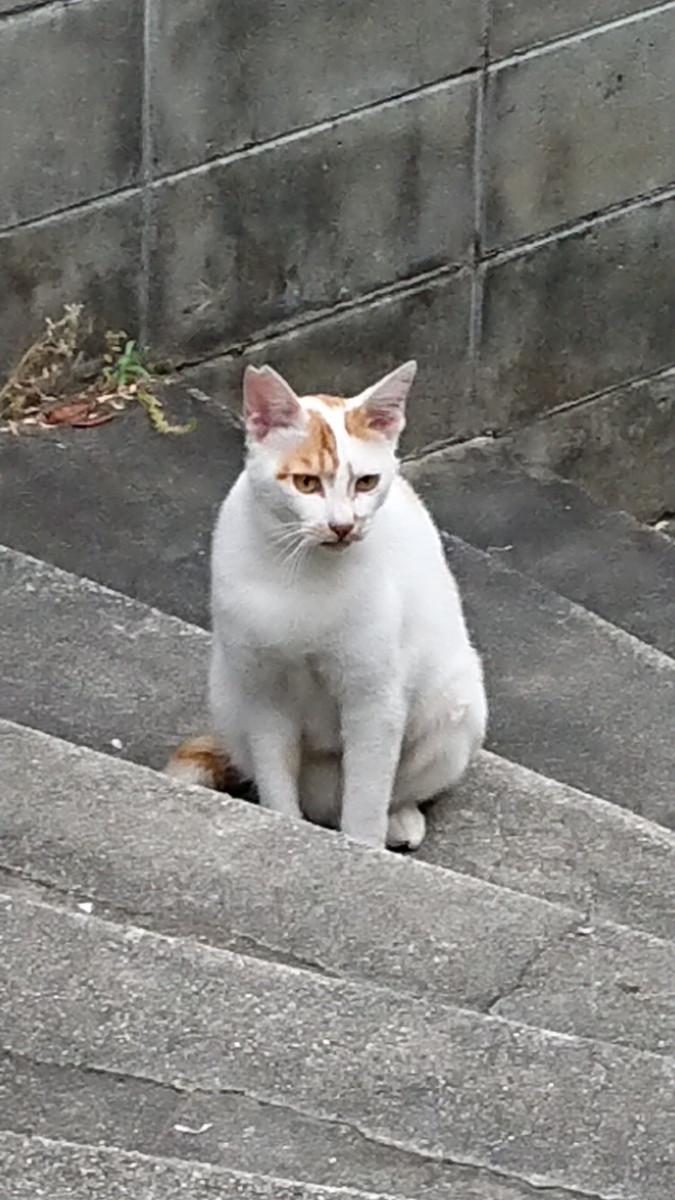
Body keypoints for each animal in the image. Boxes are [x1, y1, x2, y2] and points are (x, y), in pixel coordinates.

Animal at [165, 360, 485, 849]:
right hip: (227, 691)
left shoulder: (374, 699)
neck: (303, 575)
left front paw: (363, 846)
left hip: (457, 702)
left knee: (395, 787)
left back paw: (399, 820)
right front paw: (285, 824)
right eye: (306, 483)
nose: (343, 526)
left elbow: (367, 796)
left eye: (366, 483)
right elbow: (276, 778)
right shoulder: (265, 694)